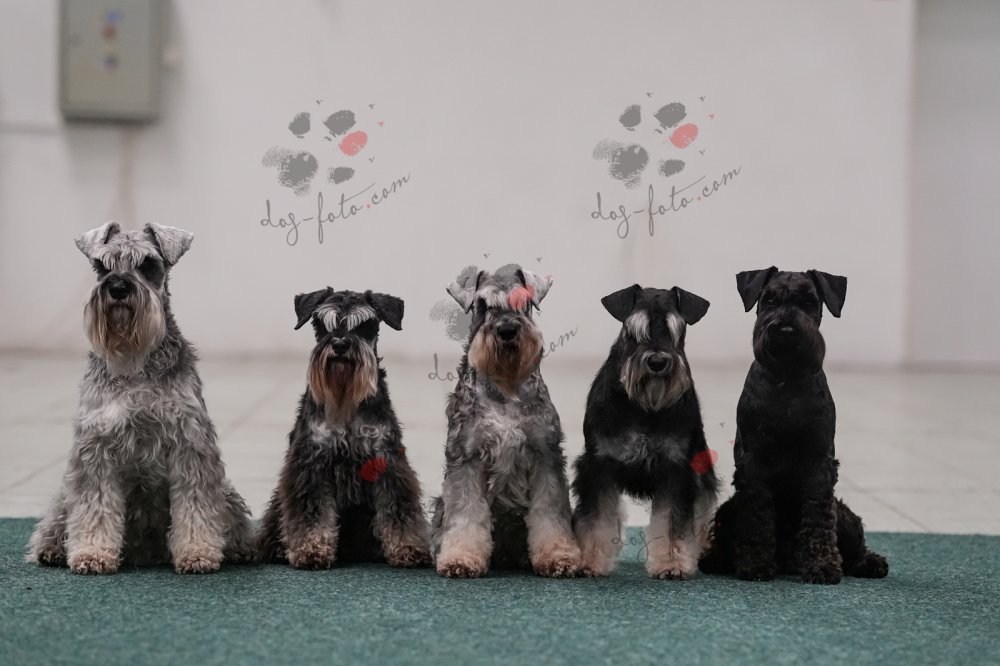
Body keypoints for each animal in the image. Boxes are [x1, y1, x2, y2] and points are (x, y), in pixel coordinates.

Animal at [27, 222, 254, 574]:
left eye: (148, 264)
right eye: (102, 265)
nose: (119, 288)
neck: (135, 362)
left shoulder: (190, 444)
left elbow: (195, 506)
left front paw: (197, 552)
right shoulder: (96, 448)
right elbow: (94, 507)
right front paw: (92, 553)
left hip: (226, 491)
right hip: (65, 494)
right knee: (57, 519)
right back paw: (50, 549)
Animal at [256, 288, 432, 569]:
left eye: (364, 325)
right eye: (320, 325)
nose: (339, 345)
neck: (345, 401)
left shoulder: (387, 461)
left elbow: (398, 509)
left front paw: (408, 549)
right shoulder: (311, 465)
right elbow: (312, 512)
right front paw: (311, 550)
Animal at [430, 265, 581, 578]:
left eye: (524, 303)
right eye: (482, 305)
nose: (508, 330)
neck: (505, 388)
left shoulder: (545, 456)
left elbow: (550, 514)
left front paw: (558, 556)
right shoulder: (467, 457)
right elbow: (466, 515)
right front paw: (460, 559)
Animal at [572, 285, 717, 579]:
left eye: (675, 330)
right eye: (632, 331)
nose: (658, 362)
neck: (643, 406)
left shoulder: (678, 469)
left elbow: (673, 521)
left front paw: (672, 564)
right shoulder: (597, 465)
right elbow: (596, 518)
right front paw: (590, 561)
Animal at [698, 267, 889, 584]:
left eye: (810, 301)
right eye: (769, 299)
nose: (786, 331)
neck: (787, 378)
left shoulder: (819, 462)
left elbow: (818, 516)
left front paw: (822, 566)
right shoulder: (754, 462)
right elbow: (757, 515)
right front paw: (755, 565)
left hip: (845, 515)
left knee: (855, 544)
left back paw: (870, 563)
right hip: (729, 510)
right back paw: (716, 560)